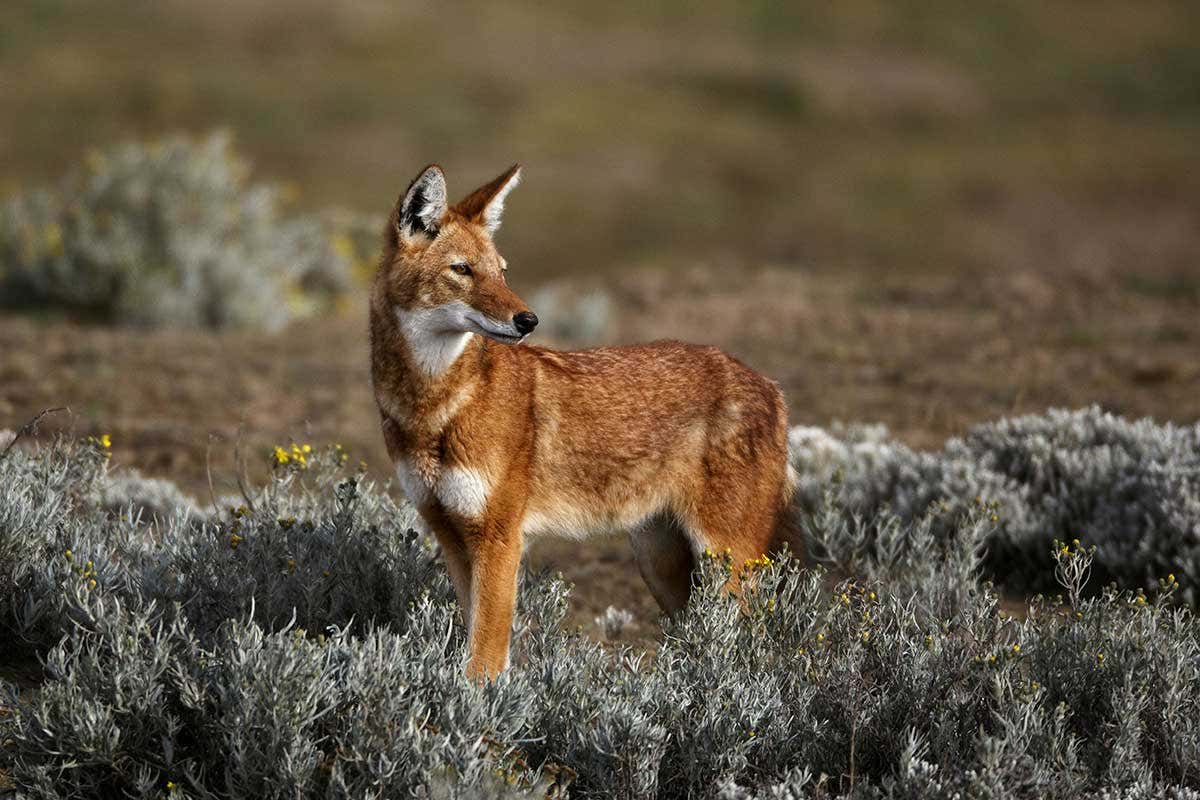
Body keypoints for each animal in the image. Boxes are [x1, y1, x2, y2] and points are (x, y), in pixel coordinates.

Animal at [370, 164, 799, 679]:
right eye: (462, 269)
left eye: (502, 271)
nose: (528, 320)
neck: (435, 408)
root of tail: (770, 385)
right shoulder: (451, 535)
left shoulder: (500, 539)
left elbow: (485, 658)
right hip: (660, 563)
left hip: (724, 561)